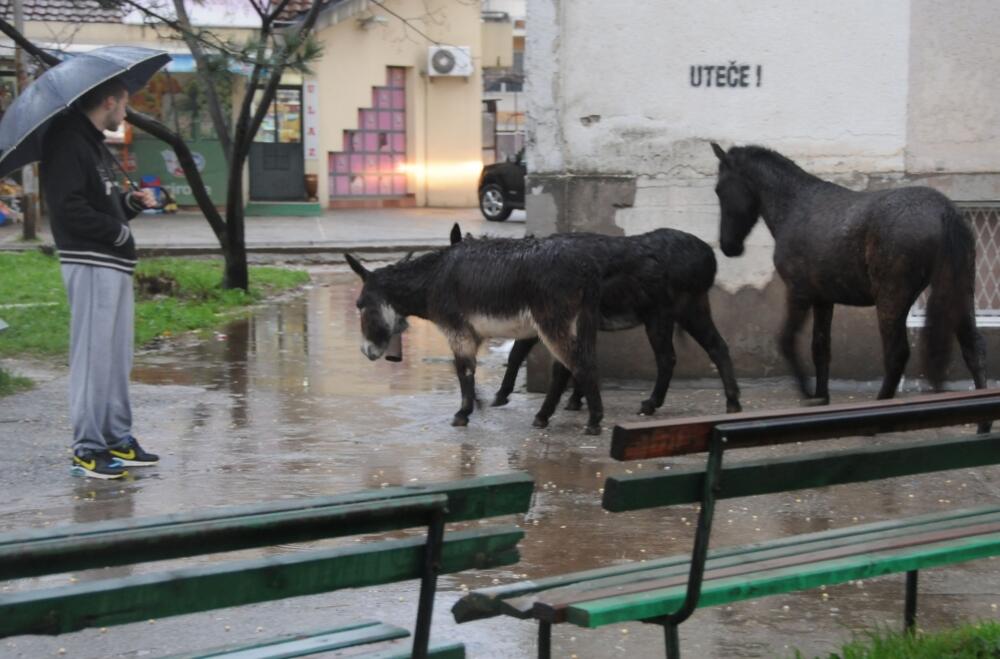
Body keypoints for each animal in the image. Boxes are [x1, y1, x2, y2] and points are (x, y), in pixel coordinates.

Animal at [345, 232, 607, 434]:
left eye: (360, 304)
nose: (365, 351)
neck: (432, 279)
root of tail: (585, 268)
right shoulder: (472, 334)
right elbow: (468, 369)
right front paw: (477, 404)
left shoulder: (457, 331)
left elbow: (463, 369)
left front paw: (462, 414)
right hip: (571, 325)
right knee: (567, 367)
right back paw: (544, 416)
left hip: (552, 324)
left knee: (578, 364)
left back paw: (593, 421)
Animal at [448, 227, 742, 415]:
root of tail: (708, 257)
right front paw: (577, 400)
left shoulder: (541, 319)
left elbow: (519, 353)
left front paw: (501, 395)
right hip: (693, 308)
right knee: (718, 346)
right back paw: (732, 402)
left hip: (661, 315)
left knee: (667, 358)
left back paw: (650, 404)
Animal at [710, 142, 987, 405]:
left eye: (720, 189)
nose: (728, 245)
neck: (795, 206)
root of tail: (944, 212)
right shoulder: (823, 299)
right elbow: (820, 348)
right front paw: (821, 397)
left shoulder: (799, 293)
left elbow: (786, 341)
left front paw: (808, 394)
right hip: (958, 292)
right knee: (972, 350)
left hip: (891, 299)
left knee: (897, 355)